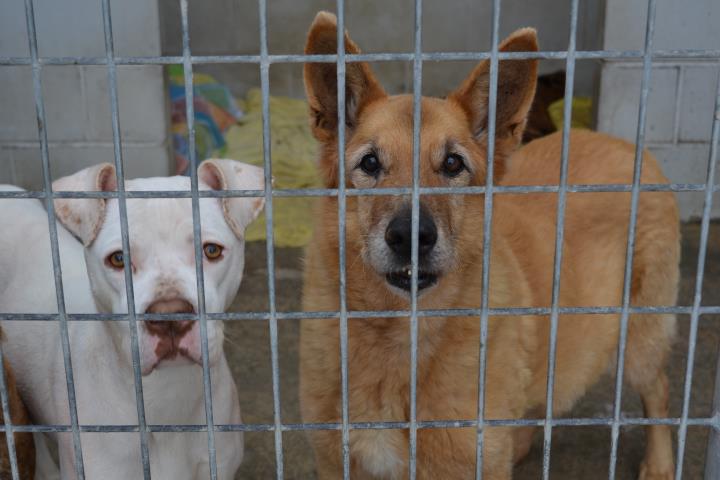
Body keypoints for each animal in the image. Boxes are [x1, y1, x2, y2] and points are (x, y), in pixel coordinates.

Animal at [300, 11, 680, 480]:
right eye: (370, 163)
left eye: (452, 164)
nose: (411, 236)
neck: (401, 338)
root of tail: (626, 144)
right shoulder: (334, 460)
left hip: (639, 339)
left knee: (659, 389)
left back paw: (659, 463)